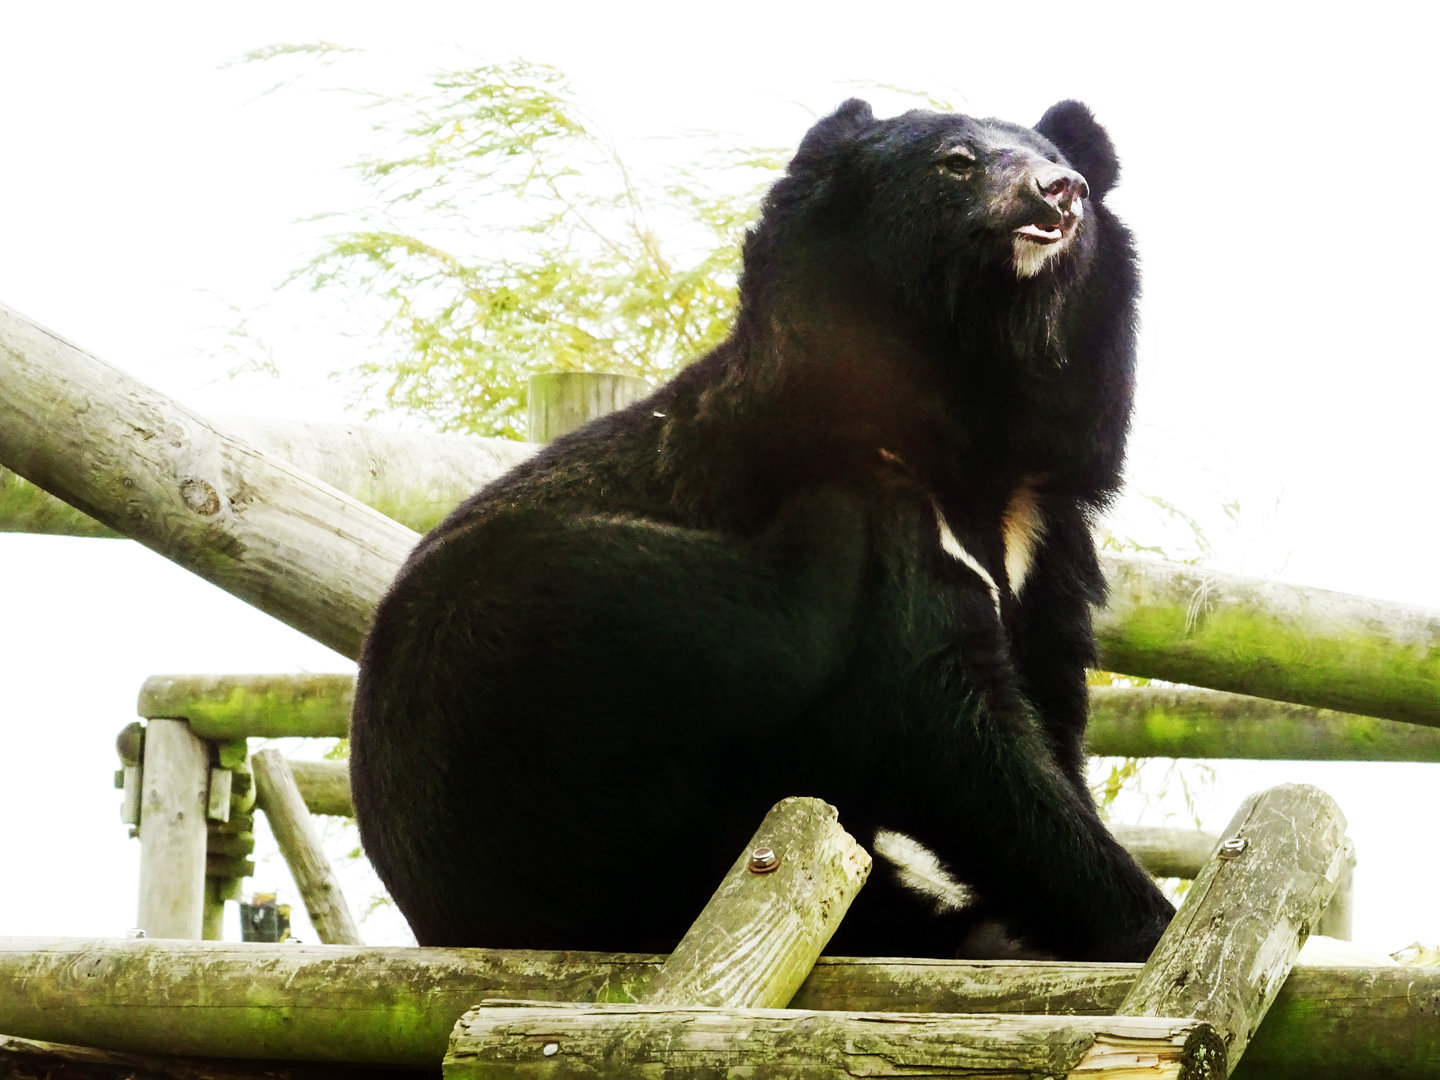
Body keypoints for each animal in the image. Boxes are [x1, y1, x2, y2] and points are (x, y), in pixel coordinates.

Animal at [349, 97, 1176, 962]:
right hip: (528, 648)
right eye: (958, 161)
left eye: (1060, 161)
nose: (1059, 192)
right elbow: (950, 731)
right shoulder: (879, 500)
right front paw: (1145, 921)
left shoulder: (1040, 540)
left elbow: (1050, 705)